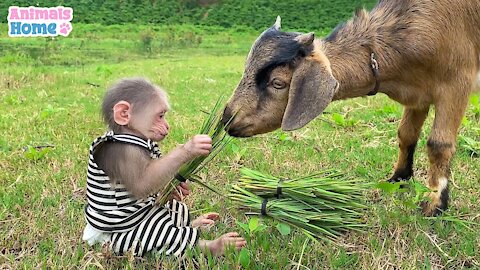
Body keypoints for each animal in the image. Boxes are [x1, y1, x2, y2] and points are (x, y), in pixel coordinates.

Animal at [82, 77, 246, 258]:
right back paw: (220, 244)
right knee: (172, 236)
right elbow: (143, 183)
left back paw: (202, 221)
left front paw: (179, 189)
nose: (167, 127)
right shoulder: (125, 153)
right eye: (160, 116)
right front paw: (192, 146)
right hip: (137, 234)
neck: (131, 135)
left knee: (179, 213)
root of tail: (97, 239)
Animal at [222, 0, 480, 215]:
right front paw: (398, 178)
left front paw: (434, 204)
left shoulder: (456, 83)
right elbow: (406, 134)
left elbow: (438, 145)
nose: (227, 118)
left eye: (278, 83)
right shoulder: (418, 95)